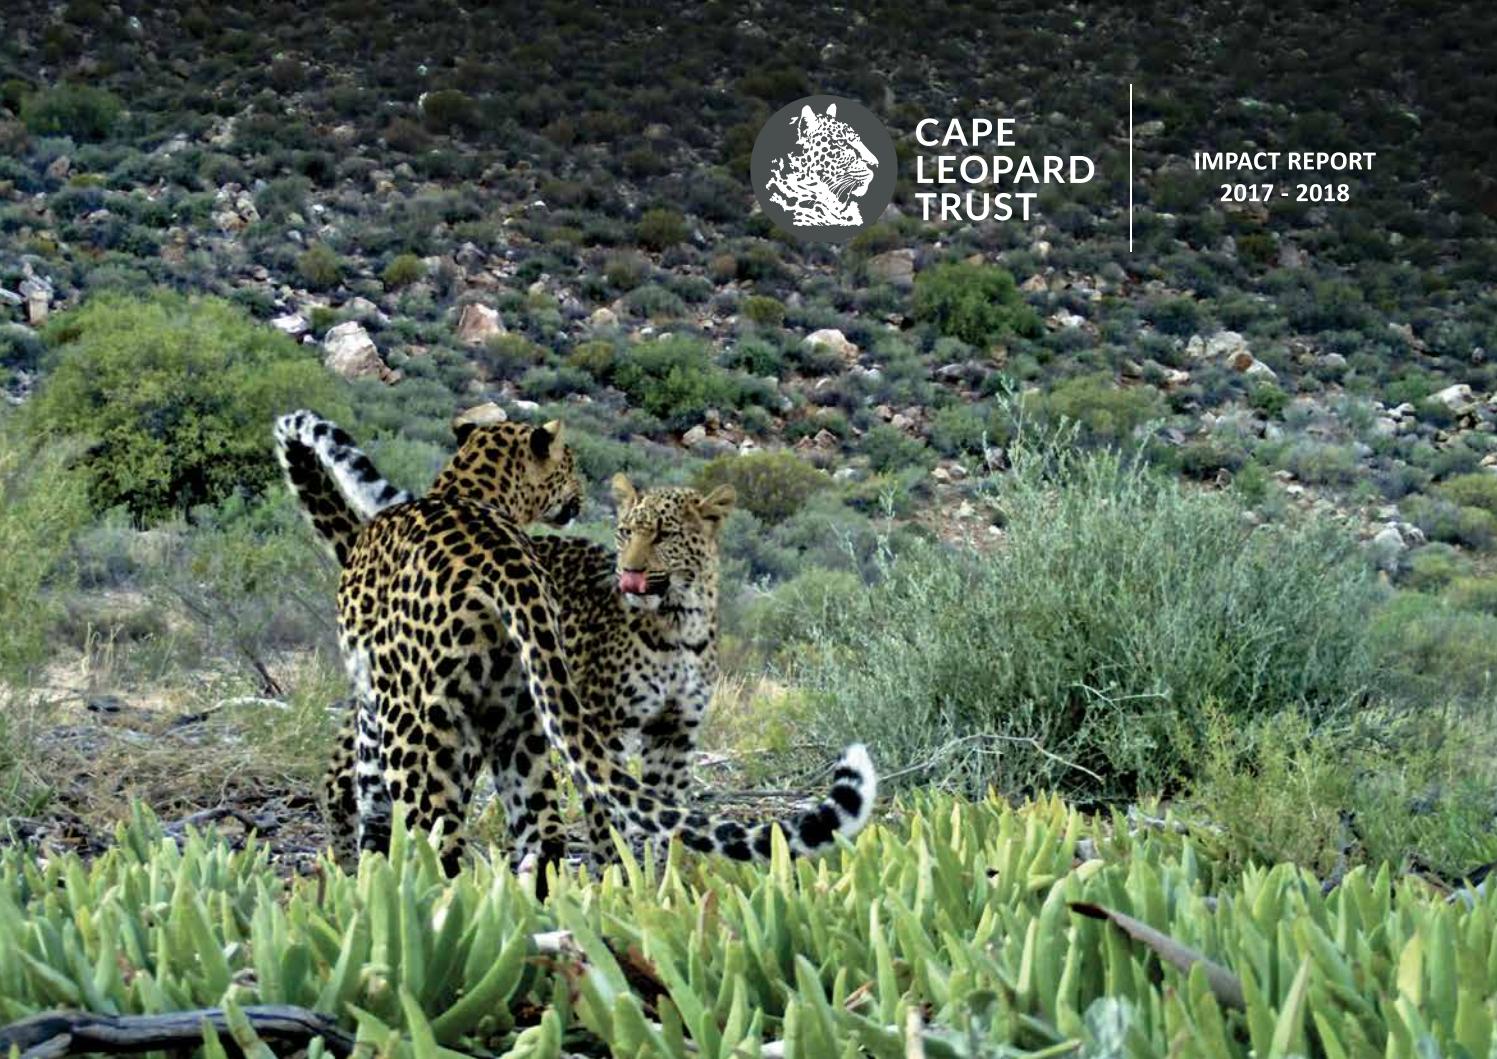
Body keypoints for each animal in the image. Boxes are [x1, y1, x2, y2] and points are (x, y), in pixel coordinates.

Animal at [274, 408, 877, 883]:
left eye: (663, 535)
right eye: (627, 531)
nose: (629, 571)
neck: (679, 625)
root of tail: (502, 564)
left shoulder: (670, 731)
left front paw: (652, 885)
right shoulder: (613, 724)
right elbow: (622, 818)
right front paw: (631, 883)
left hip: (438, 725)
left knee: (440, 827)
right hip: (487, 727)